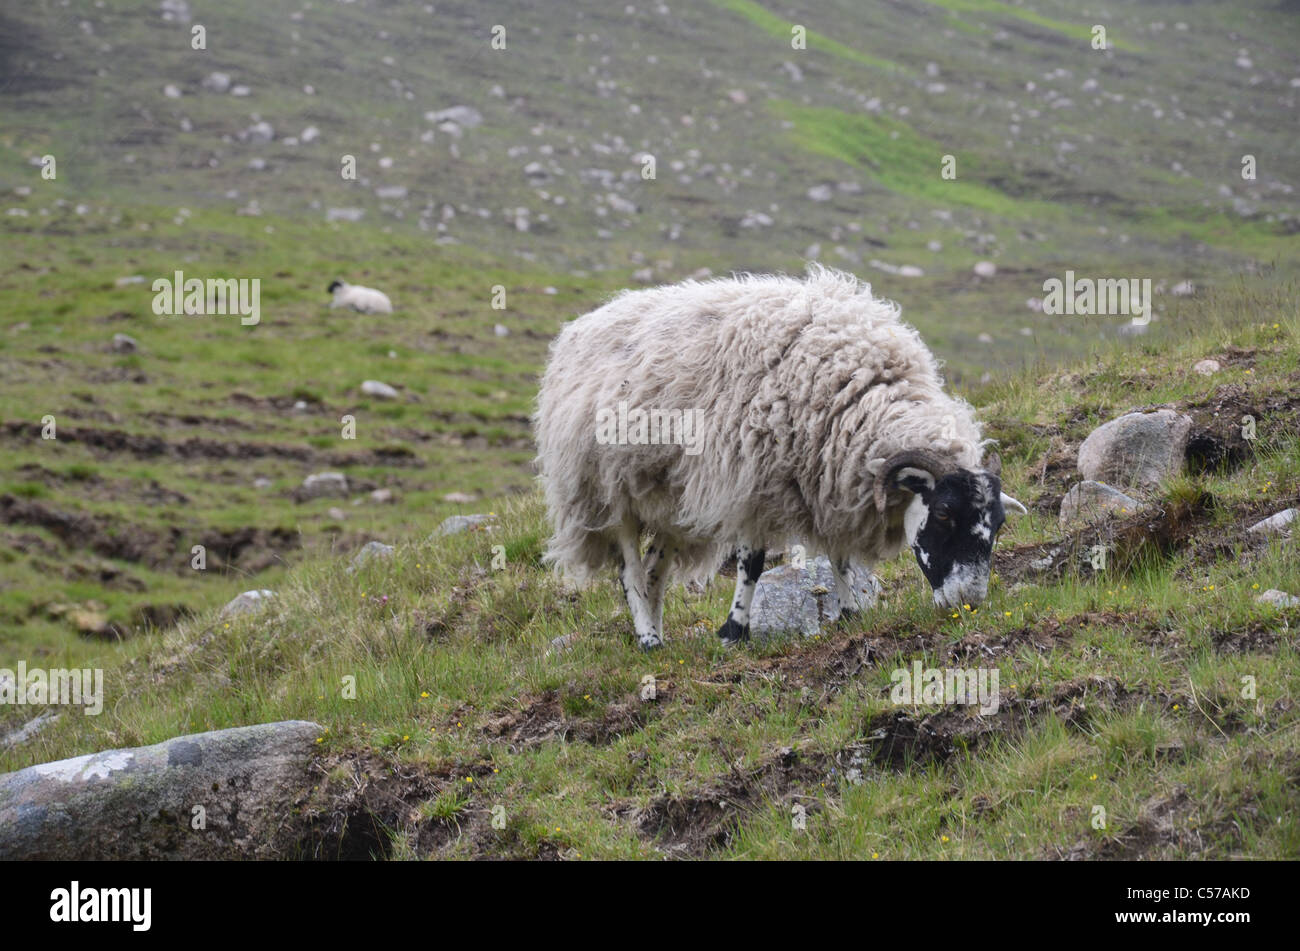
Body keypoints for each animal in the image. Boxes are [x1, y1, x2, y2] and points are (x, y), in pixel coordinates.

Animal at [533, 263, 1019, 649]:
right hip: (605, 487)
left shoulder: (828, 477)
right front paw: (734, 632)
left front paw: (850, 614)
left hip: (670, 497)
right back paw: (648, 639)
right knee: (631, 570)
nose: (968, 604)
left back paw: (660, 633)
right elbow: (753, 562)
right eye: (943, 514)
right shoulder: (751, 480)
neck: (855, 391)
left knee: (654, 570)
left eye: (998, 524)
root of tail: (585, 323)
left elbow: (840, 556)